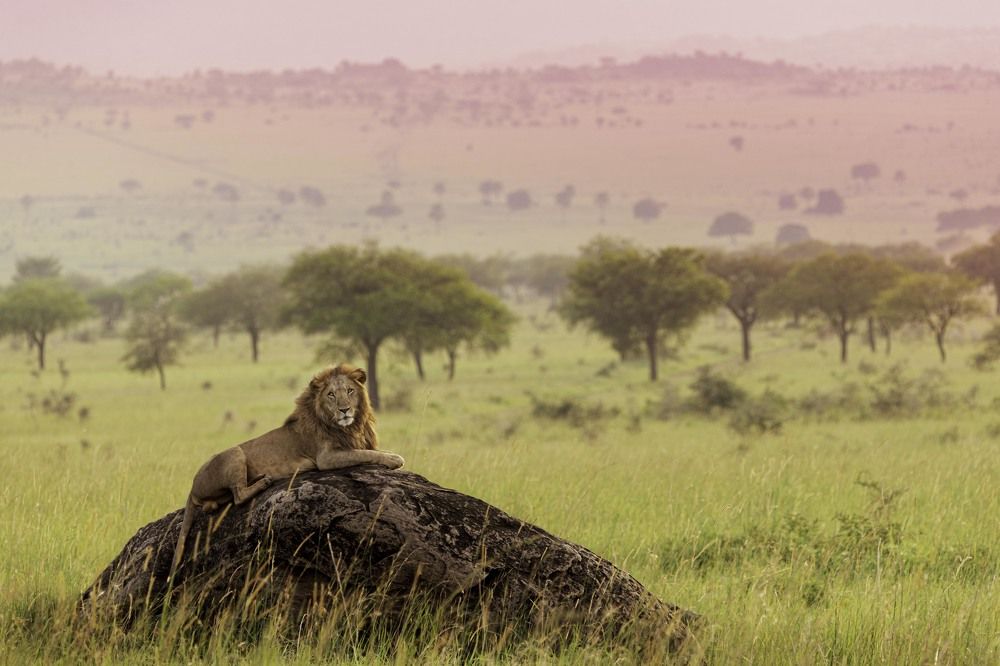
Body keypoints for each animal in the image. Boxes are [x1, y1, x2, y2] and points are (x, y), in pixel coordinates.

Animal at [170, 364, 404, 576]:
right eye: (331, 395)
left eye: (349, 391)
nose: (344, 410)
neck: (350, 426)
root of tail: (192, 486)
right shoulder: (326, 458)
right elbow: (365, 454)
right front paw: (394, 459)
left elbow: (369, 450)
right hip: (235, 452)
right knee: (238, 495)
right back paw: (264, 481)